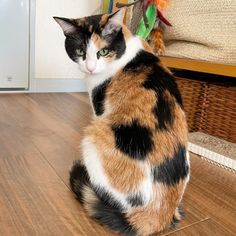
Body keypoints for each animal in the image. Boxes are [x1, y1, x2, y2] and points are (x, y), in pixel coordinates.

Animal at [54, 8, 189, 236]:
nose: (90, 68)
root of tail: (156, 215)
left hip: (93, 138)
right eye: (80, 51)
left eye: (103, 52)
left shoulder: (98, 109)